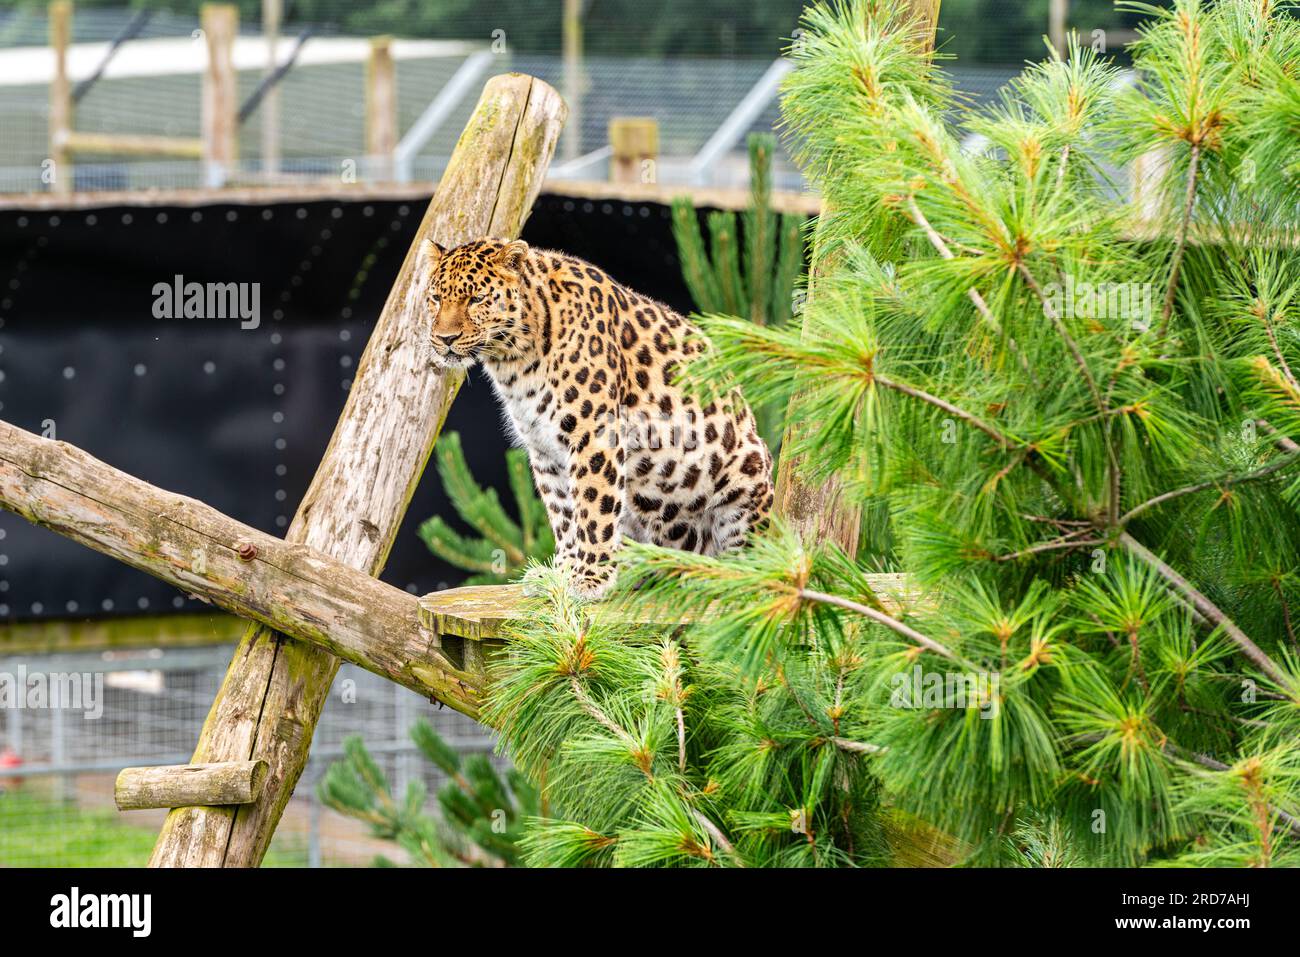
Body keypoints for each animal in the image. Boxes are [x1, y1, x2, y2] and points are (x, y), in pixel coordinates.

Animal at [423, 237, 769, 598]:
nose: (445, 339)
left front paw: (590, 579)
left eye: (476, 299)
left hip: (747, 472)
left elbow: (593, 508)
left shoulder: (594, 435)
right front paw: (562, 572)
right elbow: (563, 512)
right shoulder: (545, 449)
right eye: (436, 298)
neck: (515, 361)